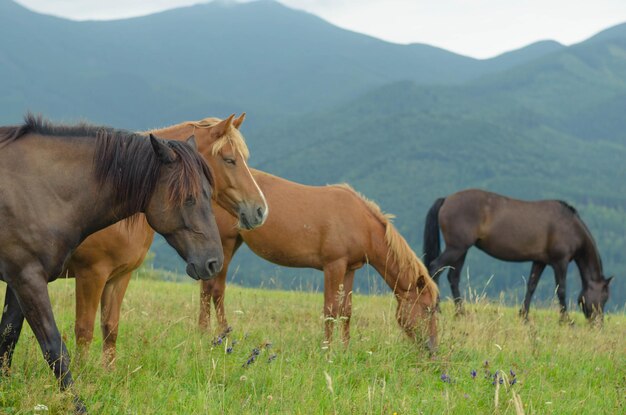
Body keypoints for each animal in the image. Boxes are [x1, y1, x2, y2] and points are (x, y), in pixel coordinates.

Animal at [0, 115, 223, 414]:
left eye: (209, 193)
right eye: (188, 198)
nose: (214, 262)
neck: (40, 189)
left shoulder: (19, 281)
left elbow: (8, 336)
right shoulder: (28, 279)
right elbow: (55, 348)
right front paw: (78, 405)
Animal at [69, 114, 268, 368]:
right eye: (230, 160)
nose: (260, 210)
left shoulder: (119, 276)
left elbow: (110, 328)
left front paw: (108, 372)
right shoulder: (91, 275)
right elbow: (84, 330)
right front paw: (81, 373)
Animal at [197, 171, 436, 352]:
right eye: (427, 309)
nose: (432, 350)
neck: (360, 222)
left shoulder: (350, 269)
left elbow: (346, 310)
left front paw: (345, 350)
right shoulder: (333, 266)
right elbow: (330, 309)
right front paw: (327, 350)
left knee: (208, 289)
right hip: (226, 244)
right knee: (214, 290)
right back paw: (217, 333)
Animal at [422, 190, 612, 324]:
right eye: (604, 297)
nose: (598, 324)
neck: (570, 226)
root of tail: (447, 199)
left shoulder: (540, 261)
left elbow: (531, 286)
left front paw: (524, 316)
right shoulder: (560, 262)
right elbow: (561, 290)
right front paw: (566, 320)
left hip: (461, 250)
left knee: (453, 277)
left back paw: (461, 313)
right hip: (456, 248)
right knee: (434, 268)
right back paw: (436, 308)